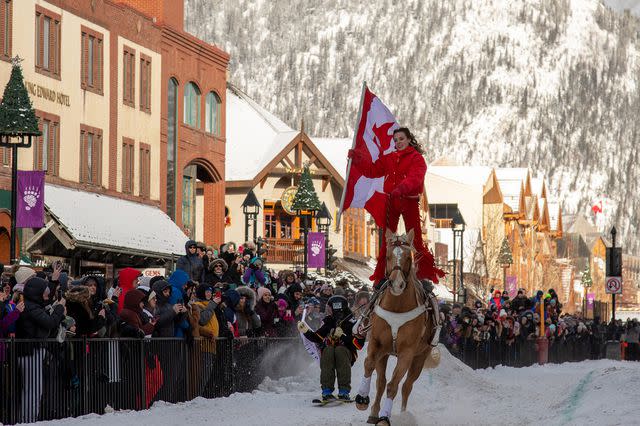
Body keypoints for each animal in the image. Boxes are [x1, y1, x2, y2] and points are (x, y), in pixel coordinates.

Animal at [356, 231, 440, 424]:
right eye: (387, 256)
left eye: (408, 257)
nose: (396, 284)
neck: (397, 307)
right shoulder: (377, 343)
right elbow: (369, 365)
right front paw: (362, 399)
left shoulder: (407, 353)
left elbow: (393, 385)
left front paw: (384, 417)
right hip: (385, 353)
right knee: (380, 381)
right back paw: (373, 412)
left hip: (419, 357)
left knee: (406, 385)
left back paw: (403, 414)